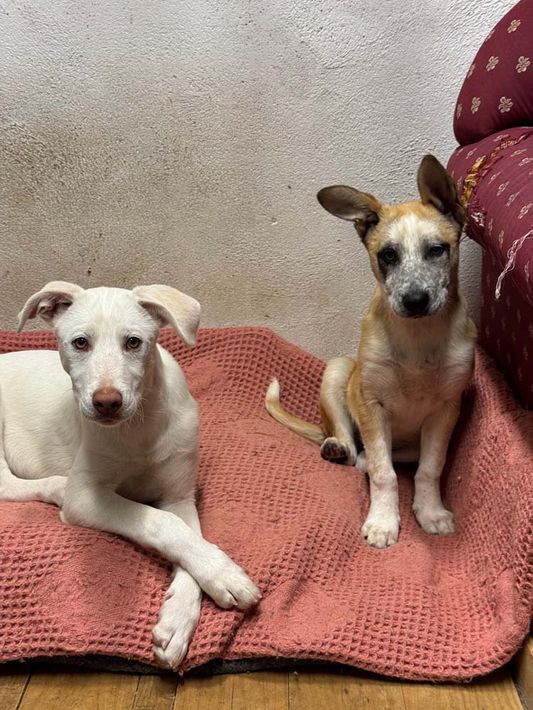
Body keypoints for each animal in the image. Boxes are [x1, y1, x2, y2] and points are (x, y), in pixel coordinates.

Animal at [0, 282, 260, 668]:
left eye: (134, 342)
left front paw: (183, 613)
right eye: (80, 343)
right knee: (9, 483)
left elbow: (188, 536)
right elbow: (160, 523)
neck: (138, 427)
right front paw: (224, 573)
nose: (107, 402)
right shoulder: (87, 497)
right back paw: (57, 487)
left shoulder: (179, 496)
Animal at [266, 155, 476, 548]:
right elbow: (383, 473)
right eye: (388, 255)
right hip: (339, 372)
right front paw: (382, 522)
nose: (414, 300)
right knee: (354, 449)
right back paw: (337, 448)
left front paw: (431, 512)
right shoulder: (370, 402)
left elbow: (430, 469)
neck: (418, 337)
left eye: (437, 249)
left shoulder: (446, 408)